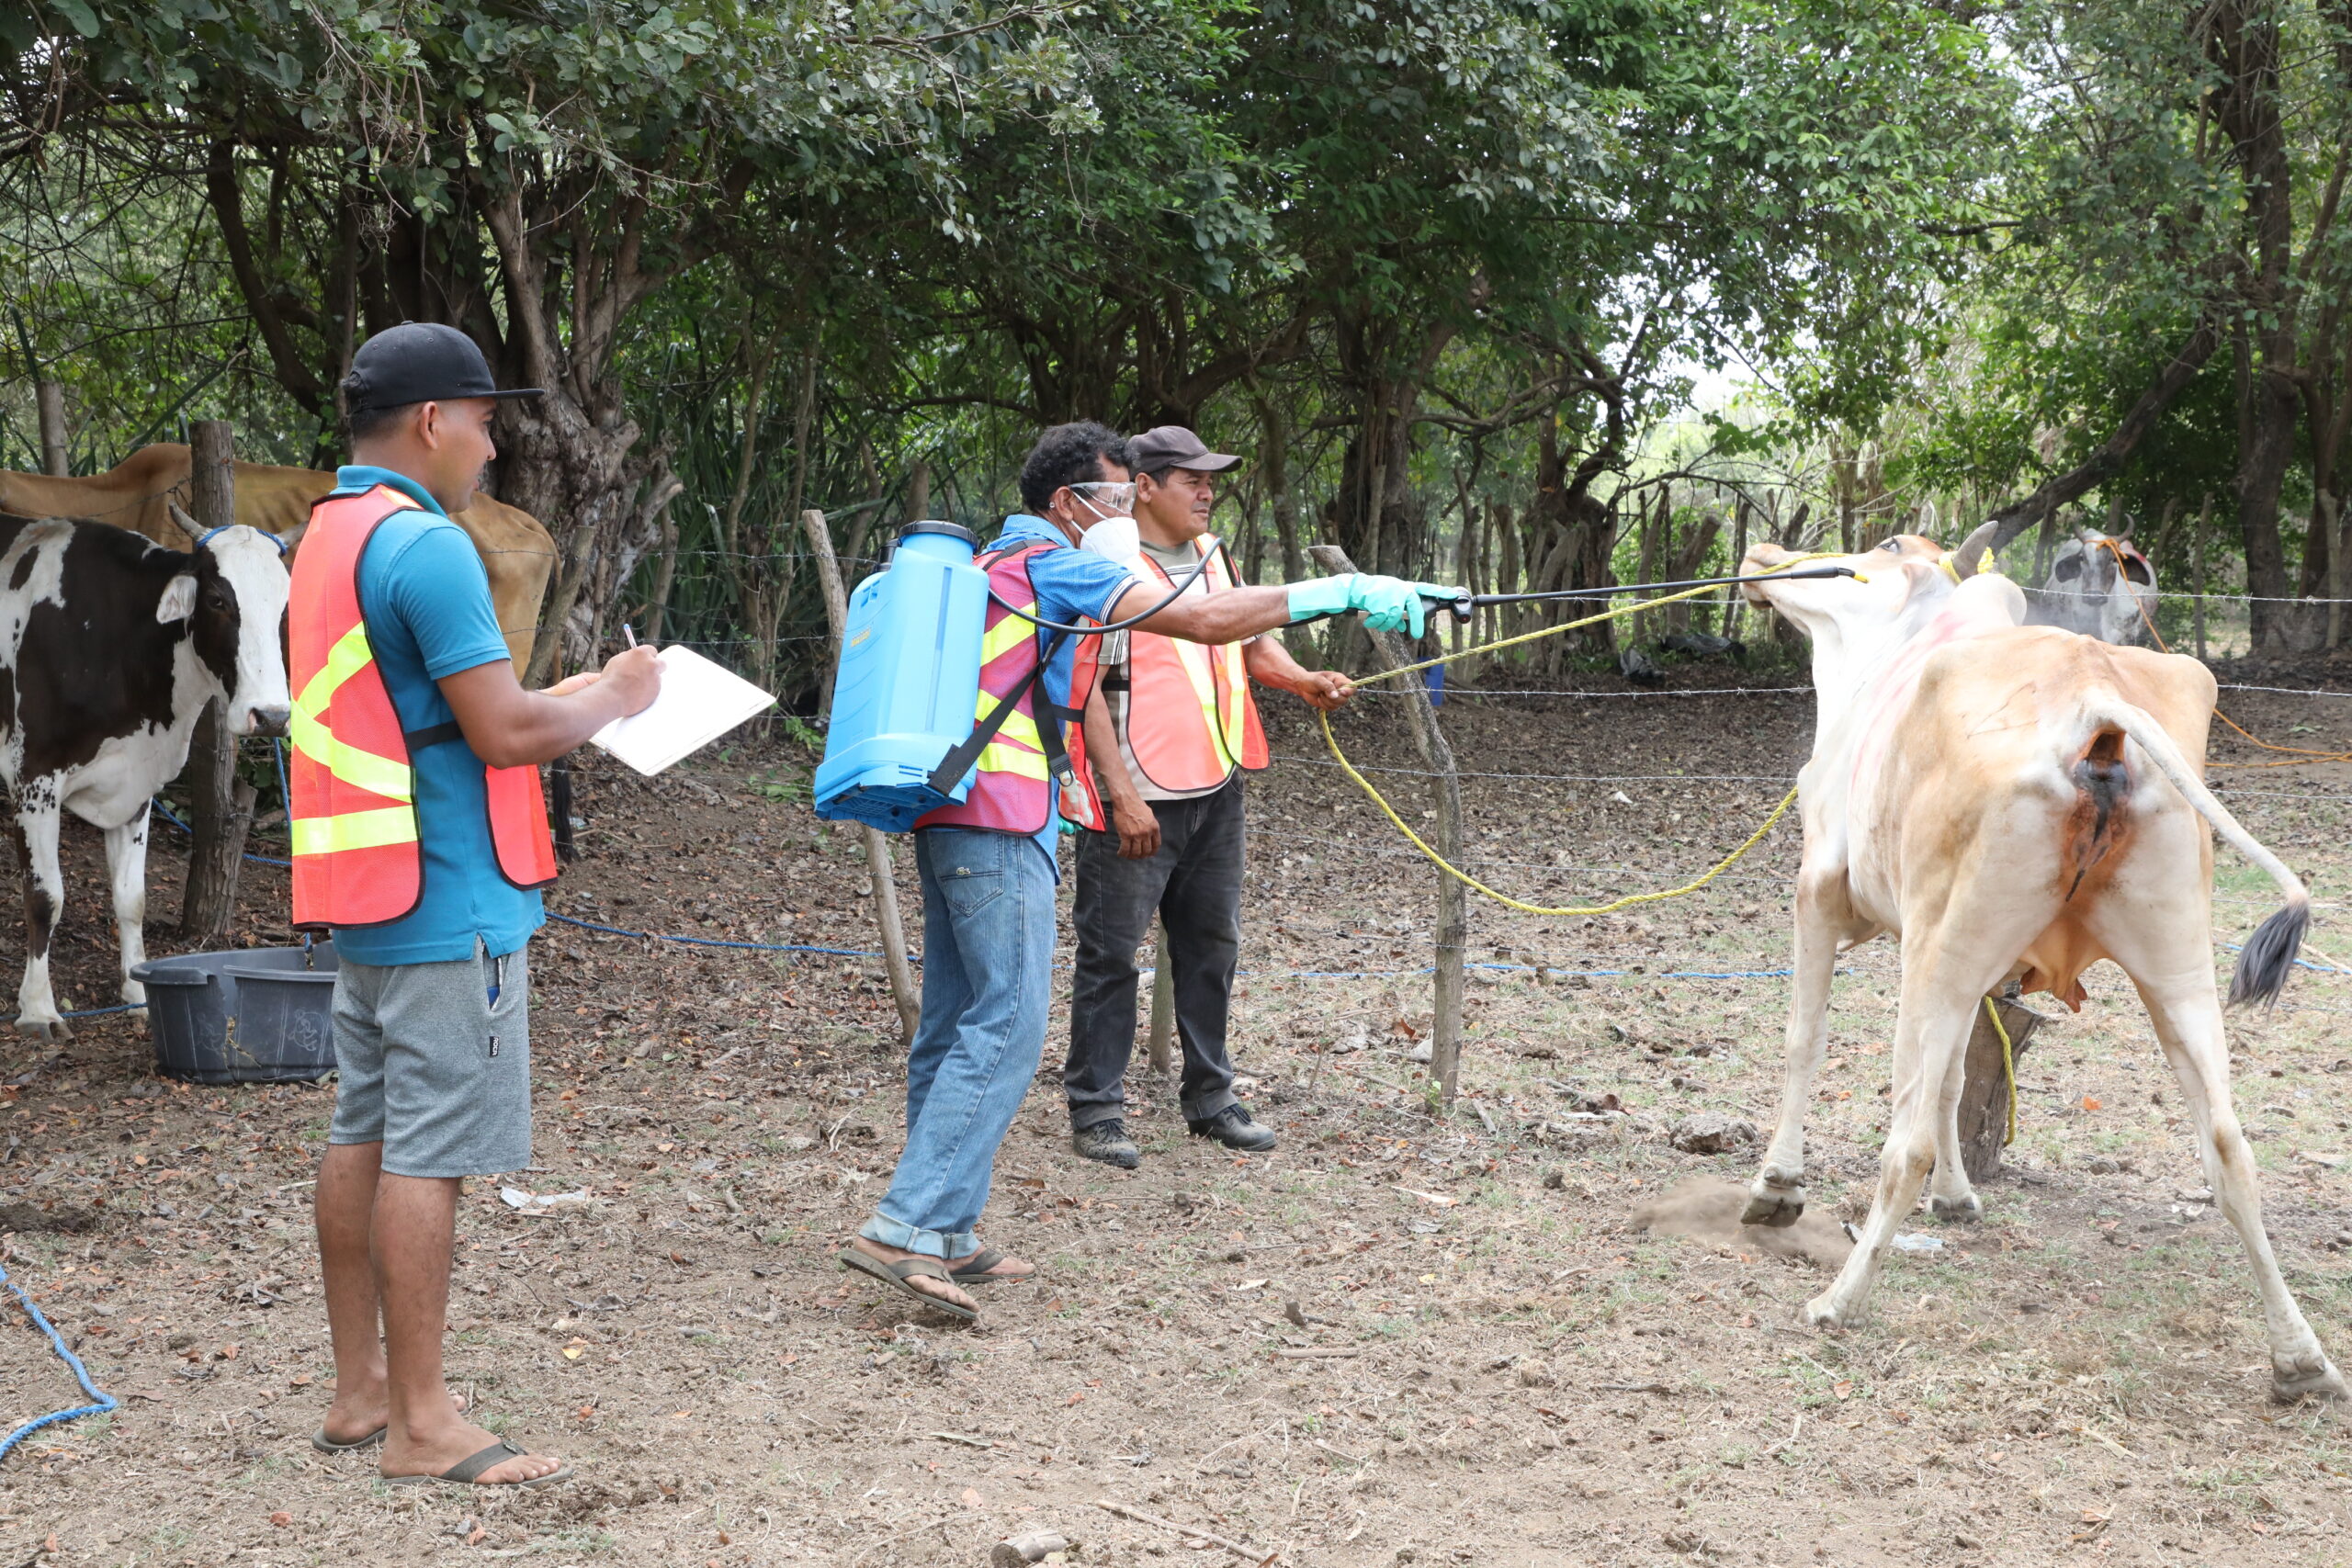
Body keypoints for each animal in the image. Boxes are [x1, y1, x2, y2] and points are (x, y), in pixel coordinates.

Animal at [0, 518, 291, 1039]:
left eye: (284, 602)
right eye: (217, 600)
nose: (272, 716)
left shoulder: (136, 788)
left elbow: (131, 897)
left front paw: (137, 989)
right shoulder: (33, 775)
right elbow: (44, 896)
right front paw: (38, 1009)